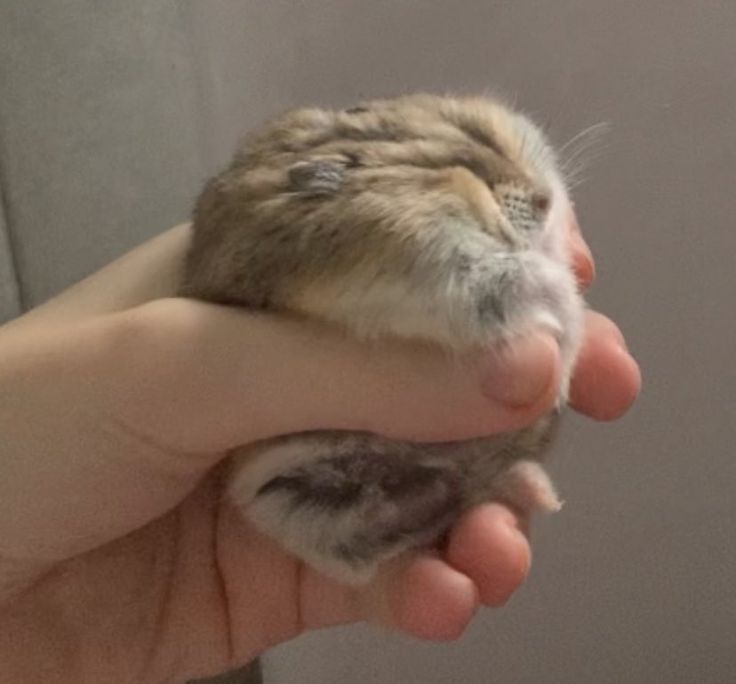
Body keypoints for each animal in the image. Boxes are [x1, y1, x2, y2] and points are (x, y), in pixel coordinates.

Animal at [181, 94, 585, 584]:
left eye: (477, 132)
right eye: (461, 165)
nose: (546, 200)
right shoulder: (439, 263)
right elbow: (512, 282)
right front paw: (566, 335)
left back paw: (526, 487)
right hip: (280, 495)